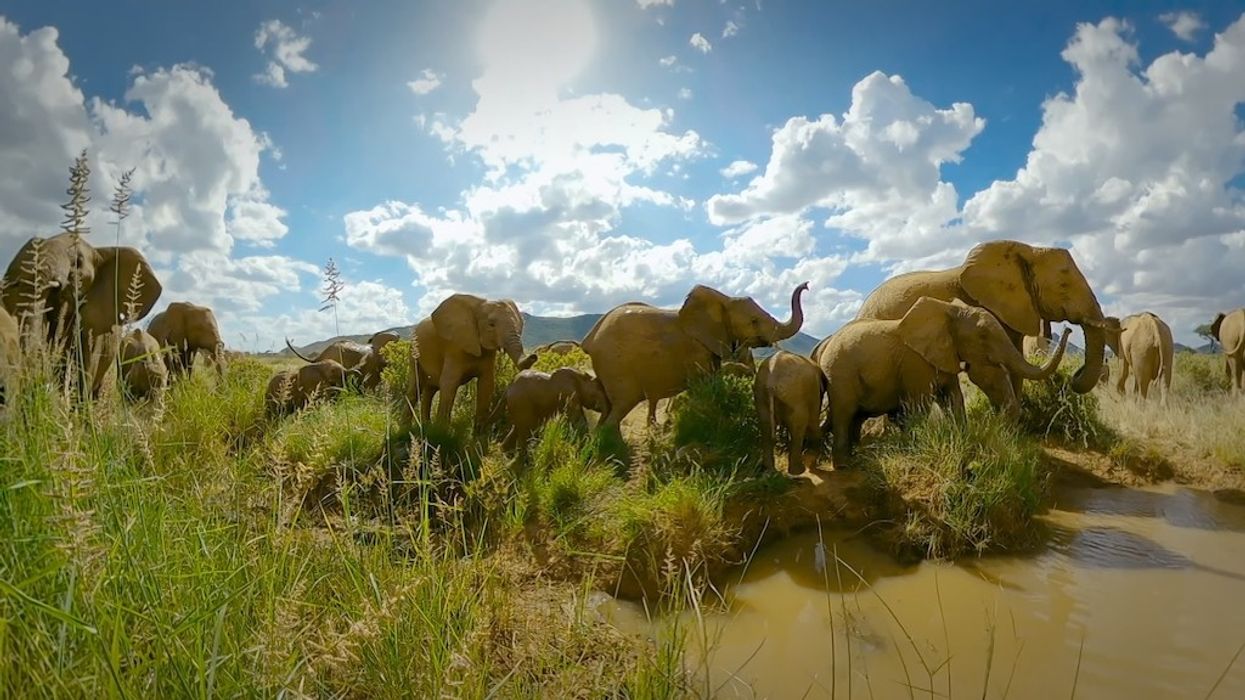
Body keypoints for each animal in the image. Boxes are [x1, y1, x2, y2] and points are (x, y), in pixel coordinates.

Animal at [406, 294, 537, 429]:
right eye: (491, 324)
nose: (534, 356)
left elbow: (486, 384)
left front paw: (478, 432)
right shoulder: (454, 347)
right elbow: (449, 383)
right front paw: (441, 431)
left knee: (430, 390)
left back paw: (426, 426)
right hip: (413, 352)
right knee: (415, 388)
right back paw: (406, 428)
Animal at [583, 283, 808, 432]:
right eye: (753, 321)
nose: (806, 285)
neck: (723, 299)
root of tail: (589, 341)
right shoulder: (696, 350)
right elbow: (706, 386)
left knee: (609, 407)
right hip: (616, 365)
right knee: (621, 406)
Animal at [820, 297, 1070, 468]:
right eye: (983, 337)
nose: (1067, 328)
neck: (949, 311)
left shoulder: (945, 353)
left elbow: (953, 397)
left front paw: (963, 441)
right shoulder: (915, 361)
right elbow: (920, 403)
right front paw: (914, 448)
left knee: (853, 416)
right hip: (839, 374)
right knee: (844, 413)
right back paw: (843, 465)